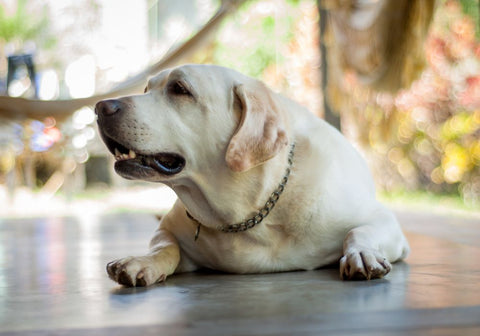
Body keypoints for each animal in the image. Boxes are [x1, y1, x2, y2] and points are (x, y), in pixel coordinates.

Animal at [94, 63, 408, 286]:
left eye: (180, 89)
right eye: (147, 88)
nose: (100, 107)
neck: (247, 213)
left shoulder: (385, 223)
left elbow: (359, 230)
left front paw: (362, 254)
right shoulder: (168, 229)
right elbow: (165, 246)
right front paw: (142, 261)